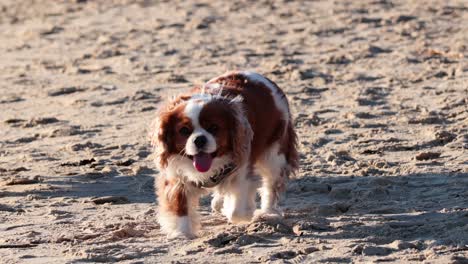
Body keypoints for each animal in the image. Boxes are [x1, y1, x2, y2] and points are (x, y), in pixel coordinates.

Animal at [150, 71, 298, 238]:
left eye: (214, 128)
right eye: (184, 131)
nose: (199, 139)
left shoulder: (241, 172)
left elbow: (236, 211)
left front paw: (245, 212)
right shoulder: (176, 176)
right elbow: (179, 206)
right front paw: (182, 233)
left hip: (275, 155)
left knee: (271, 186)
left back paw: (268, 212)